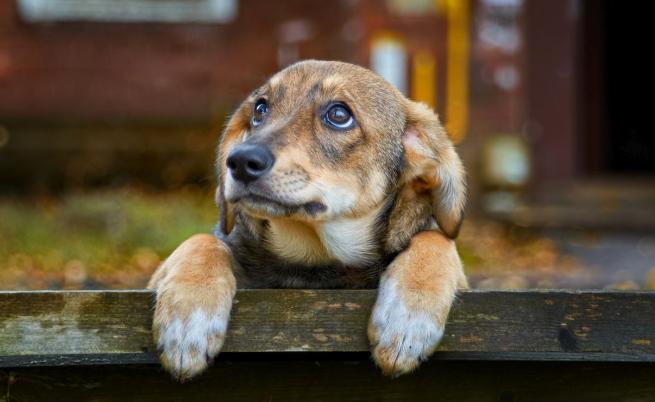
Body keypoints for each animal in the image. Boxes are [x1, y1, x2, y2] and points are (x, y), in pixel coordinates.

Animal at [149, 59, 466, 380]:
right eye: (260, 109)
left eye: (339, 114)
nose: (239, 161)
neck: (314, 257)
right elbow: (202, 241)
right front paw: (187, 319)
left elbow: (436, 238)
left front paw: (408, 318)